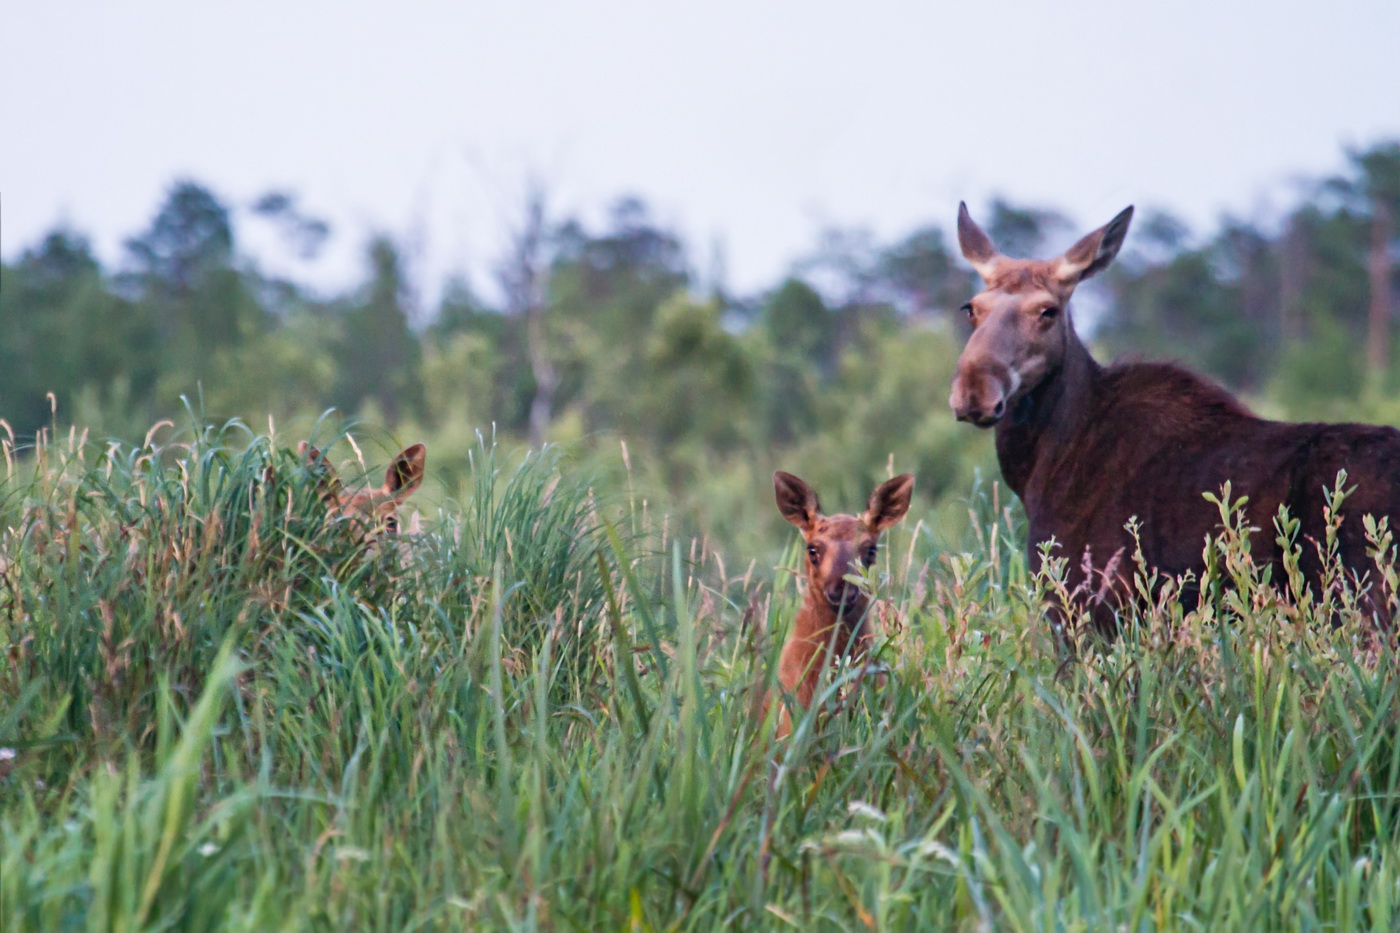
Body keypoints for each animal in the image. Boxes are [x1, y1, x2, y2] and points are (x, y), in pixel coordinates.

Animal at [952, 196, 1400, 633]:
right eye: (971, 308)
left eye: (1047, 311)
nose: (974, 392)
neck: (1037, 466)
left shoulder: (1086, 605)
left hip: (1361, 596)